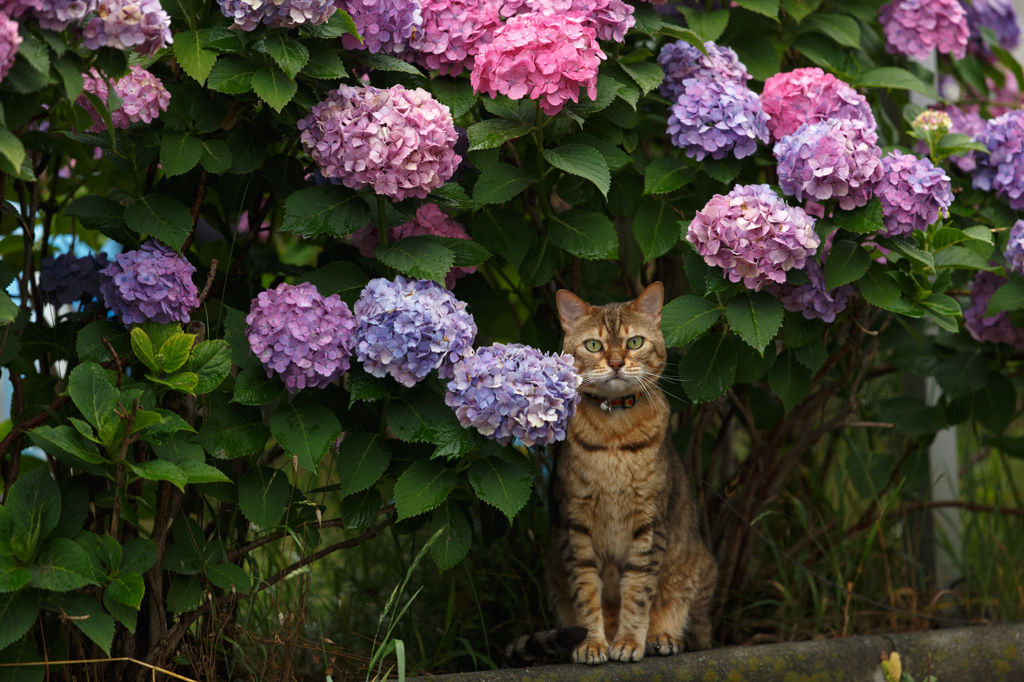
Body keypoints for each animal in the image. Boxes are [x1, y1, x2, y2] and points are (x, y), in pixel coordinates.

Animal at [516, 280, 716, 663]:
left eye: (634, 342)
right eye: (594, 345)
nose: (616, 362)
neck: (613, 438)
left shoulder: (649, 525)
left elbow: (638, 593)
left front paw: (627, 642)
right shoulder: (576, 525)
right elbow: (586, 594)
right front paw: (593, 643)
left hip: (693, 569)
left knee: (692, 631)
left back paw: (662, 637)